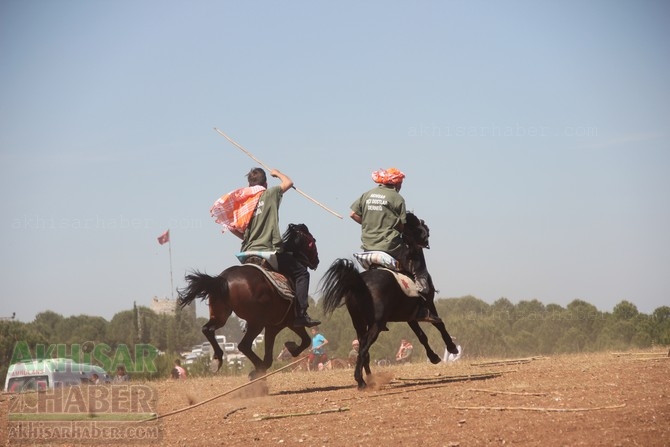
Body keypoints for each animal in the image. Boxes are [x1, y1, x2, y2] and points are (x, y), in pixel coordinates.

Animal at [178, 224, 320, 378]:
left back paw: (218, 359)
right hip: (256, 323)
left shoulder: (272, 327)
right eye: (312, 241)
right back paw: (255, 368)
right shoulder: (289, 322)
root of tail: (223, 279)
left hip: (221, 315)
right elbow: (305, 341)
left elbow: (269, 357)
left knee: (208, 329)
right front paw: (291, 348)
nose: (317, 261)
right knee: (243, 345)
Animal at [322, 213, 462, 388]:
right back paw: (361, 381)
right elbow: (439, 323)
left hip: (359, 323)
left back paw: (370, 378)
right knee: (363, 348)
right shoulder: (428, 303)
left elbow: (421, 336)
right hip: (376, 324)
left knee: (363, 348)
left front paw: (433, 357)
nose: (426, 229)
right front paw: (452, 347)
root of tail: (359, 283)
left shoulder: (410, 316)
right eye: (418, 225)